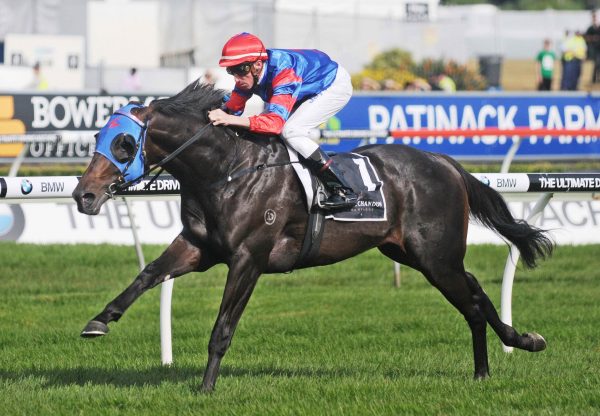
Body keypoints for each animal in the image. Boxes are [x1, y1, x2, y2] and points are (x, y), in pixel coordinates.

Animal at [74, 80, 552, 390]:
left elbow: (222, 327)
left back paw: (509, 351)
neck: (226, 170)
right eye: (97, 136)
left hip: (436, 256)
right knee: (475, 295)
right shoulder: (199, 246)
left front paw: (206, 389)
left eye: (123, 145)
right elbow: (149, 274)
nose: (83, 195)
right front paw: (99, 320)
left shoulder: (248, 257)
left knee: (471, 300)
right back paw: (502, 357)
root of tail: (444, 161)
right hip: (412, 253)